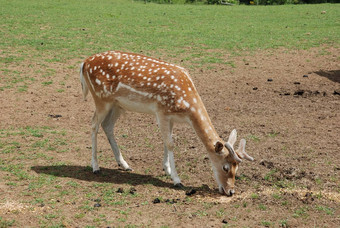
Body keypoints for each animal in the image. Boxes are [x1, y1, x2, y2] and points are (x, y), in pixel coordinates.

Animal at [78, 51, 251, 196]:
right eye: (225, 167)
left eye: (237, 168)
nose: (230, 191)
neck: (186, 107)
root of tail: (84, 63)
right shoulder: (160, 111)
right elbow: (170, 144)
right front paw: (177, 180)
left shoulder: (170, 117)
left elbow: (166, 142)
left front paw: (166, 169)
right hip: (101, 98)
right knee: (94, 124)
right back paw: (95, 167)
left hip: (117, 105)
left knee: (107, 126)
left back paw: (125, 164)